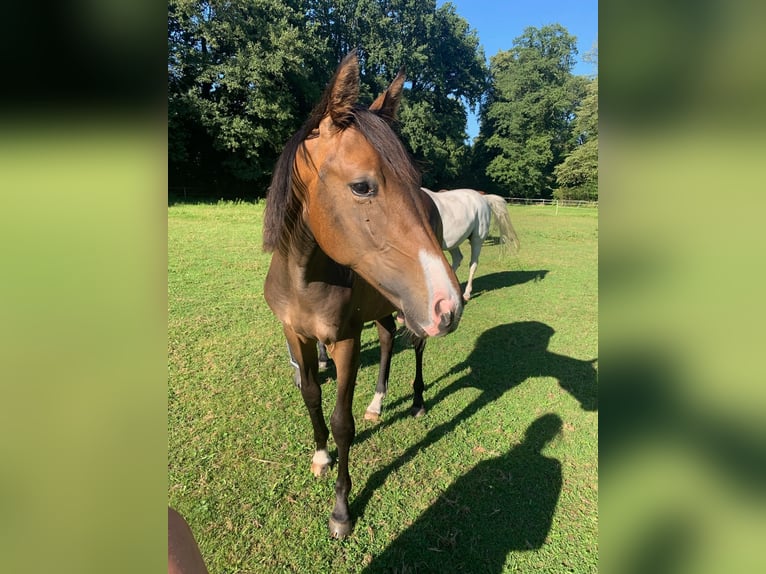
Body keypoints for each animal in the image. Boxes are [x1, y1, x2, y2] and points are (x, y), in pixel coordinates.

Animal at [262, 54, 462, 540]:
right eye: (362, 187)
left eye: (412, 177)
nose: (449, 305)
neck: (305, 278)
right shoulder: (297, 335)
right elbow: (311, 395)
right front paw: (319, 456)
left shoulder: (346, 341)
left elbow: (342, 423)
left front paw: (341, 510)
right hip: (389, 307)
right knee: (389, 339)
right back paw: (377, 403)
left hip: (409, 313)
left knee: (415, 346)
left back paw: (416, 402)